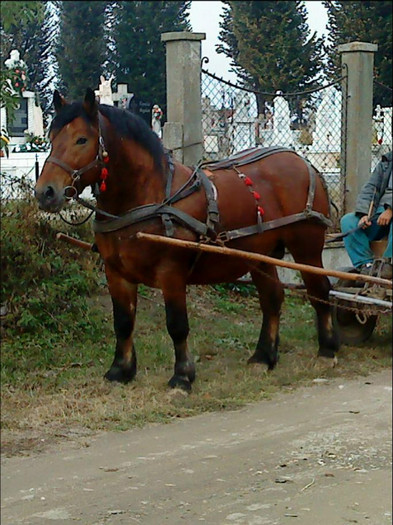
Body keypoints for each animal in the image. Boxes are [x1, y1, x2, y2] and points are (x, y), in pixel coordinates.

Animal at [35, 89, 338, 388]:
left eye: (81, 139)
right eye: (52, 138)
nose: (45, 192)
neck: (148, 197)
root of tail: (303, 161)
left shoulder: (171, 272)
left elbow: (177, 324)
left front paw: (182, 376)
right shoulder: (116, 272)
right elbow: (122, 322)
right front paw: (120, 371)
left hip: (307, 246)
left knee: (319, 290)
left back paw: (327, 350)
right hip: (260, 254)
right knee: (272, 298)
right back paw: (263, 357)